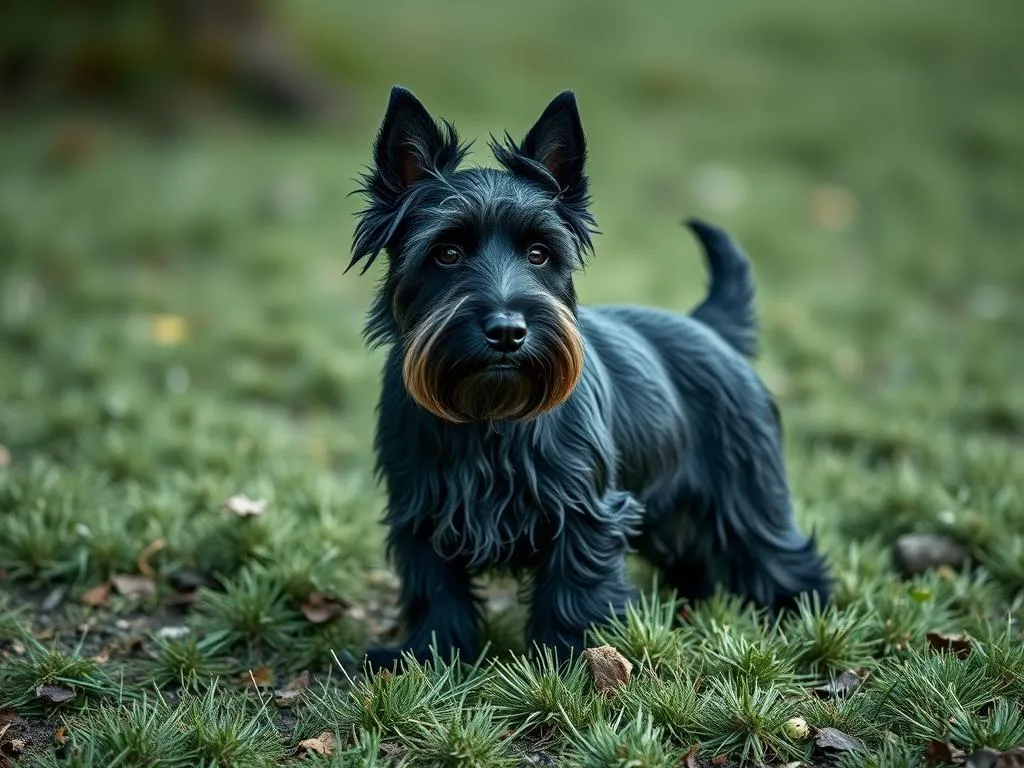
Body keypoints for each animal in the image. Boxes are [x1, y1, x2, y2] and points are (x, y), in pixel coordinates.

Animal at [348, 87, 827, 671]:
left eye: (539, 253)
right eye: (447, 253)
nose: (507, 331)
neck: (489, 415)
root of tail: (708, 327)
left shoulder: (584, 513)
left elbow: (573, 591)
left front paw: (573, 663)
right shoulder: (422, 515)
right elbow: (436, 592)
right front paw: (428, 659)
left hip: (749, 493)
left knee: (781, 556)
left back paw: (805, 620)